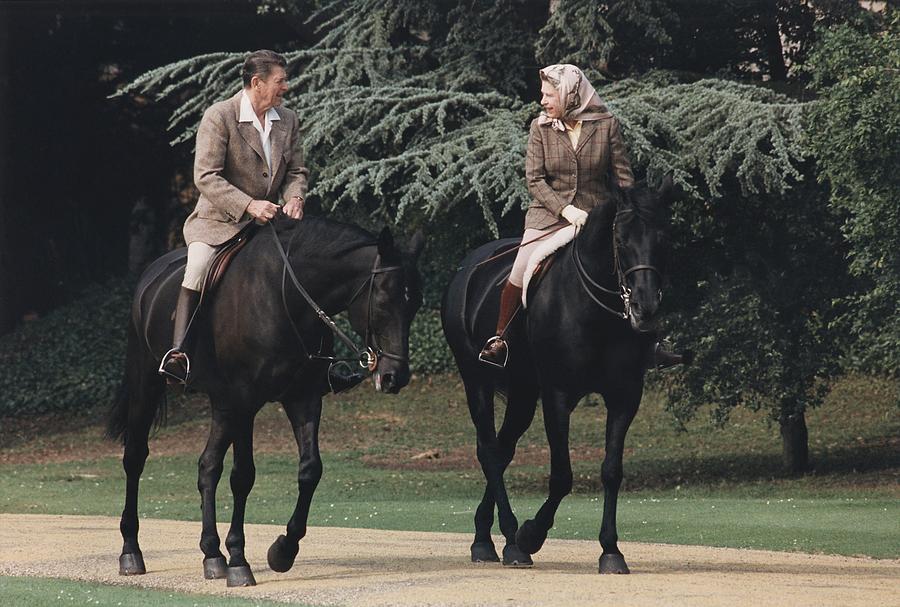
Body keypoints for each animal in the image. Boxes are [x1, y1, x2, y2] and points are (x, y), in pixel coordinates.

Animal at [107, 216, 424, 588]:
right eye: (385, 300)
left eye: (415, 304)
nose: (394, 377)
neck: (287, 297)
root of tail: (151, 274)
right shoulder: (245, 401)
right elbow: (243, 476)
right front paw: (239, 562)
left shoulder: (302, 398)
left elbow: (310, 469)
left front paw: (283, 551)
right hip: (149, 385)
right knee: (135, 458)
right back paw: (132, 551)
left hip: (222, 406)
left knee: (207, 467)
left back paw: (212, 554)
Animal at [442, 180, 676, 576]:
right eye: (621, 239)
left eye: (663, 237)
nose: (645, 310)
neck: (596, 311)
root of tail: (467, 267)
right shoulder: (557, 396)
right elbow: (562, 475)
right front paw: (530, 535)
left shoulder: (625, 396)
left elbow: (612, 470)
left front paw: (611, 550)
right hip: (477, 382)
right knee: (489, 451)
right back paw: (508, 539)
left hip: (522, 393)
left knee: (503, 450)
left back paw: (487, 537)